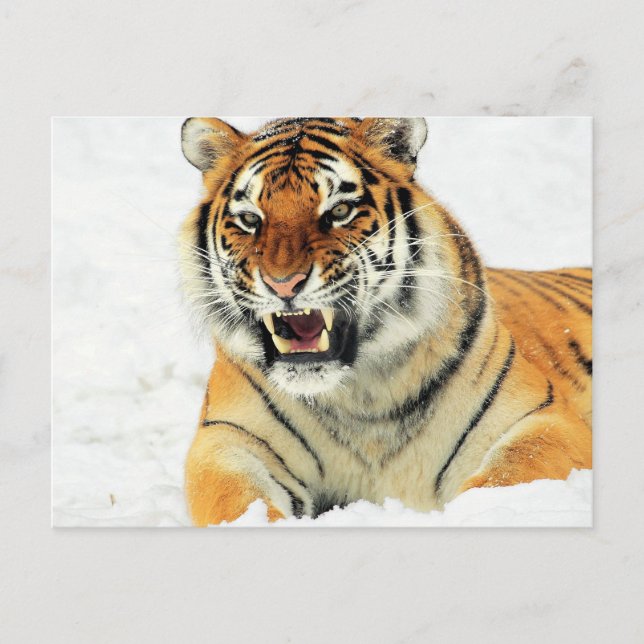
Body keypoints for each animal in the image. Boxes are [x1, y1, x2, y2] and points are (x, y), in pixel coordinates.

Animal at [179, 117, 592, 526]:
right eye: (250, 219)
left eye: (339, 212)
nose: (283, 283)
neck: (361, 394)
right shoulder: (228, 437)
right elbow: (236, 498)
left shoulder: (540, 417)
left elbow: (510, 472)